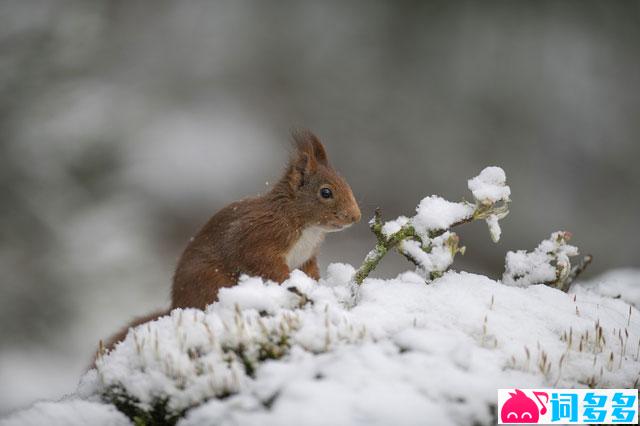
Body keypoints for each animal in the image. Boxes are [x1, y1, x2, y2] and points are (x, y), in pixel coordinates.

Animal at [100, 131, 360, 356]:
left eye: (345, 182)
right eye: (325, 192)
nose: (355, 216)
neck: (305, 225)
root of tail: (176, 306)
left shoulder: (306, 257)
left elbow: (310, 271)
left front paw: (316, 286)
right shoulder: (257, 239)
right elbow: (266, 265)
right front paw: (290, 284)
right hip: (209, 280)